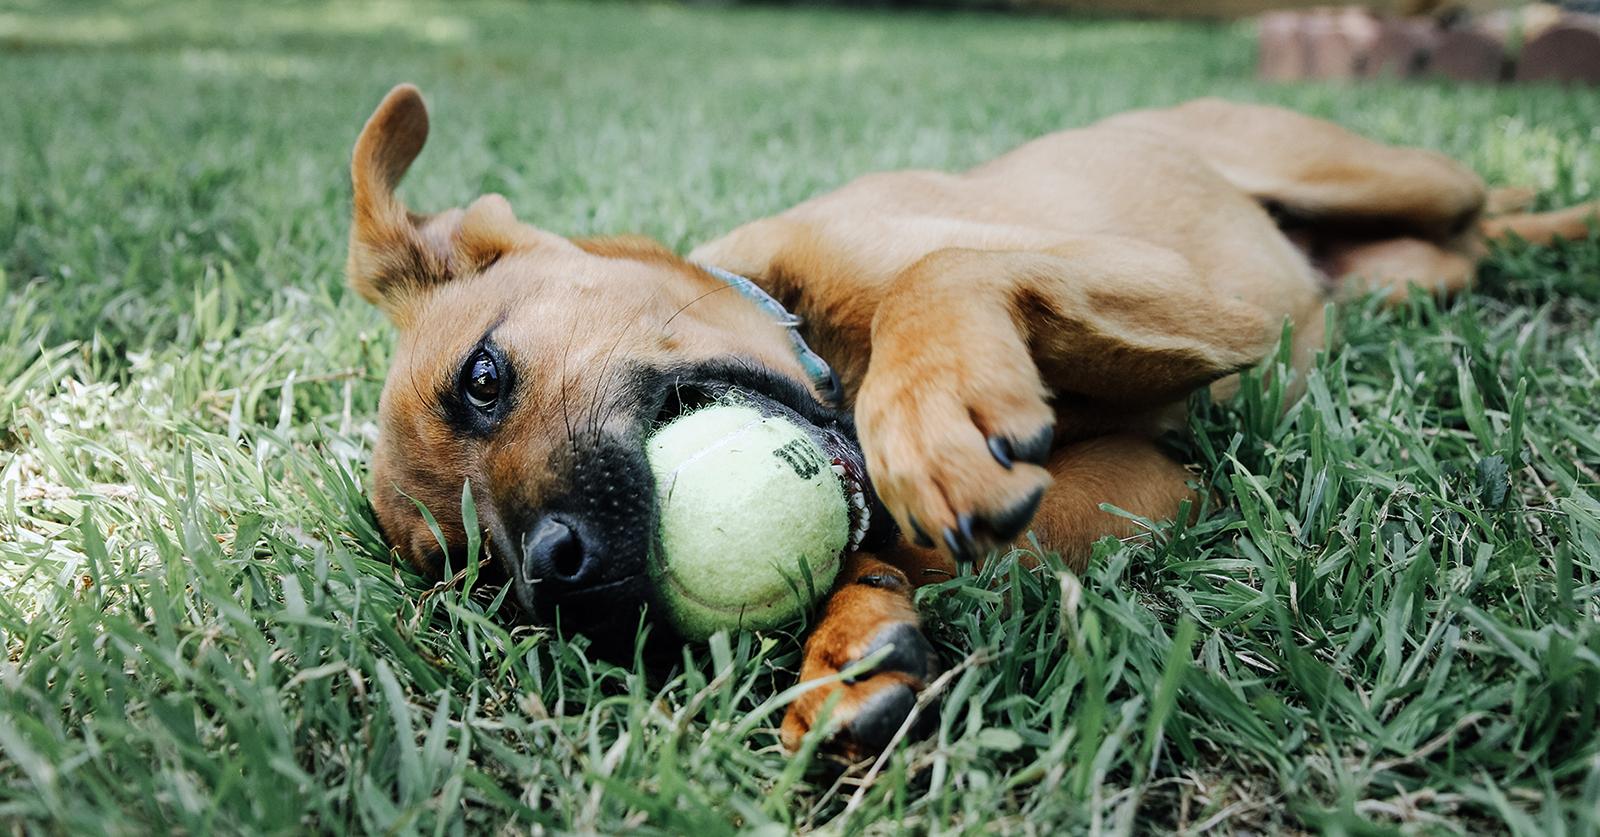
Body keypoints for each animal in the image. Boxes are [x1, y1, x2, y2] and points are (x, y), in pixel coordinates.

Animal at [350, 83, 1600, 758]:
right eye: (466, 570)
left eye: (482, 378)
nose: (556, 575)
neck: (824, 346)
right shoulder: (1149, 475)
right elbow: (911, 542)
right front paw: (849, 647)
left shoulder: (1195, 296)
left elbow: (940, 270)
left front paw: (933, 406)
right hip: (1398, 275)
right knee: (1474, 243)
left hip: (1384, 178)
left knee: (1493, 202)